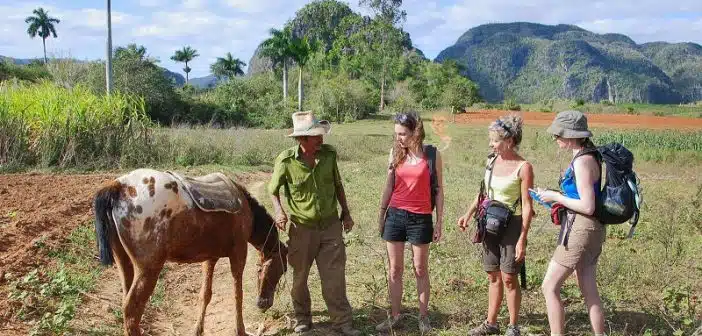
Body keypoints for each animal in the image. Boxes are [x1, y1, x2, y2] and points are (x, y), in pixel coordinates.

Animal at [92, 169, 288, 336]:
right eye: (281, 269)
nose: (264, 304)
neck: (247, 209)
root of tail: (118, 186)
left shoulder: (210, 258)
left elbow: (205, 295)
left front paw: (198, 330)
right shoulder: (239, 253)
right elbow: (237, 295)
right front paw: (240, 330)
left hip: (124, 262)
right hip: (149, 269)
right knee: (132, 311)